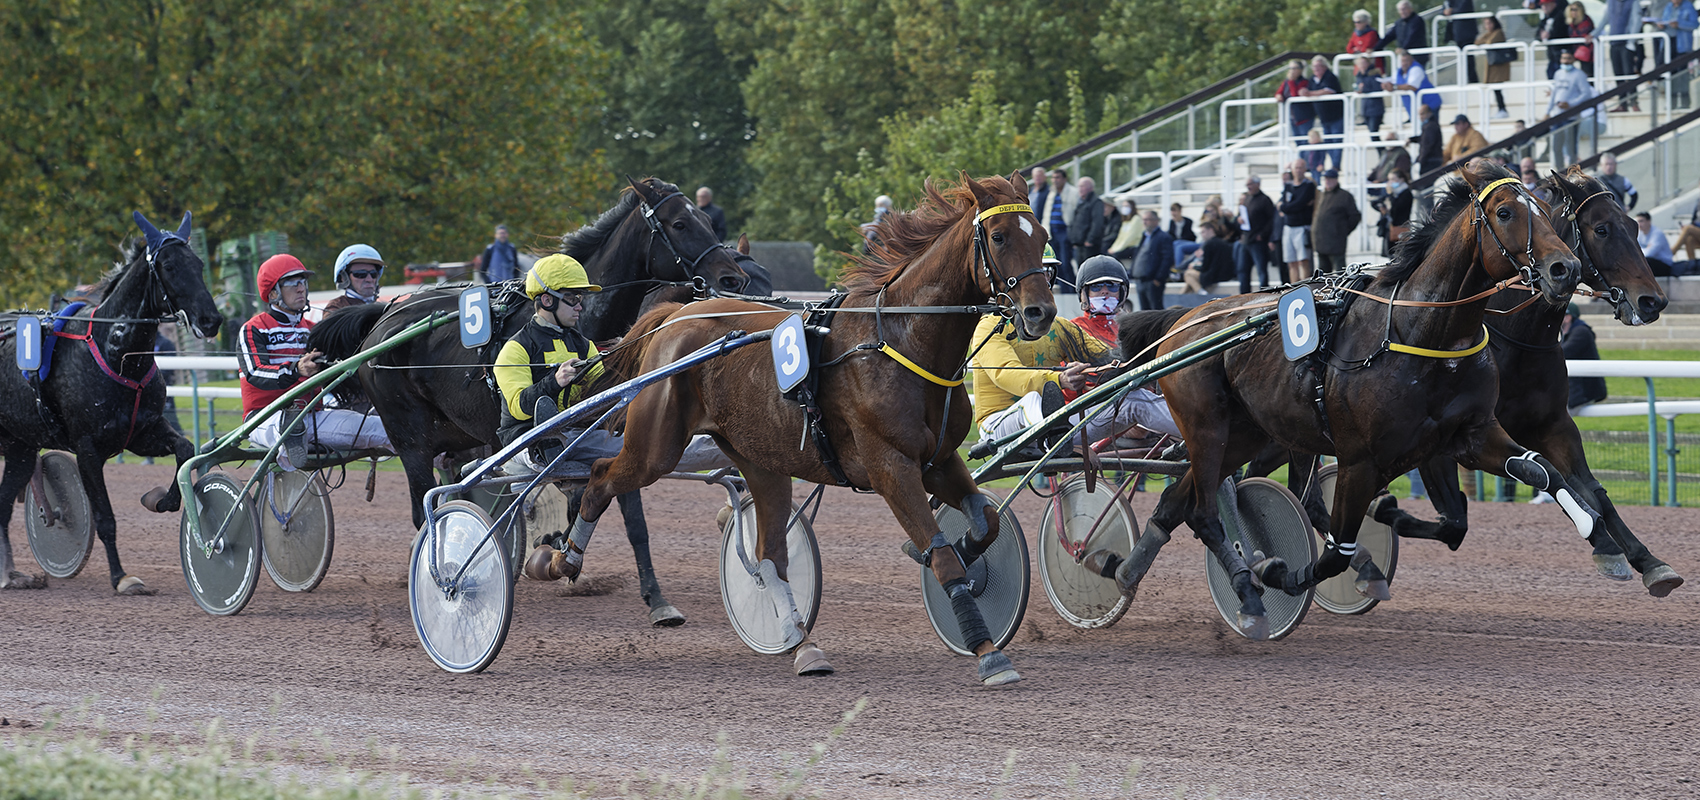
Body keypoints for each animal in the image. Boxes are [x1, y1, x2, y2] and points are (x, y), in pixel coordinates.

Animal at [0, 213, 222, 594]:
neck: (117, 353)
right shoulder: (87, 448)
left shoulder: (141, 431)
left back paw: (11, 574)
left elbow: (184, 448)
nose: (211, 319)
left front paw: (160, 499)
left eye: (199, 264)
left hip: (20, 447)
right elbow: (105, 518)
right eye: (168, 266)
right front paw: (121, 577)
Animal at [309, 178, 748, 628]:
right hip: (411, 437)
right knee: (424, 507)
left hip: (459, 436)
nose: (734, 278)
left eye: (706, 218)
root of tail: (382, 319)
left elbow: (606, 511)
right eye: (679, 223)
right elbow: (621, 511)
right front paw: (649, 595)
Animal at [523, 172, 1054, 686]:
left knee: (769, 557)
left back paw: (802, 644)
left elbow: (984, 522)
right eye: (1000, 236)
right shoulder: (890, 467)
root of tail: (674, 314)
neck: (898, 341)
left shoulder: (939, 460)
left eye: (1044, 235)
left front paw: (960, 553)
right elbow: (941, 555)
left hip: (760, 460)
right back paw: (560, 560)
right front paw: (988, 653)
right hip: (656, 447)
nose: (1040, 312)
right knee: (600, 478)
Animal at [1088, 163, 1591, 638]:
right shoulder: (1360, 460)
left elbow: (1539, 471)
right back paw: (1247, 596)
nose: (1565, 269)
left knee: (1177, 501)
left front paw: (1594, 530)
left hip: (1245, 434)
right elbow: (1335, 552)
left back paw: (1122, 569)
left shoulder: (1471, 434)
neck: (1421, 335)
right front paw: (1281, 572)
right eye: (1505, 212)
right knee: (1204, 511)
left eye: (1546, 211)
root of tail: (1187, 317)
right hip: (1206, 427)